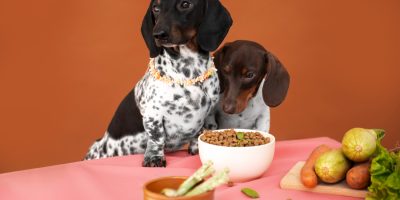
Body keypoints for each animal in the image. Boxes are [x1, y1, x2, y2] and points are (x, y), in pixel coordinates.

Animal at [86, 0, 233, 167]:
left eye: (185, 4)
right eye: (156, 8)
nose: (158, 34)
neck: (189, 71)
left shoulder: (209, 114)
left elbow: (200, 134)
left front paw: (195, 150)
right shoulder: (153, 114)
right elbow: (157, 137)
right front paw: (154, 158)